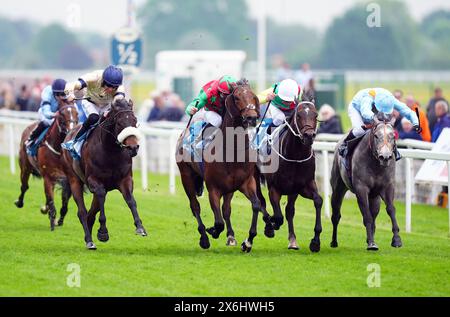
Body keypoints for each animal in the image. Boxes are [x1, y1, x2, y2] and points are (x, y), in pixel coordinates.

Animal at [61, 99, 145, 249]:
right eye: (120, 123)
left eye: (135, 120)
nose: (133, 147)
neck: (111, 151)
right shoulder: (94, 181)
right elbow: (100, 199)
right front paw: (103, 232)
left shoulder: (125, 179)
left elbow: (131, 201)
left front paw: (140, 227)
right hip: (74, 179)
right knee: (82, 211)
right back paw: (89, 240)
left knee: (91, 212)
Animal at [176, 78, 274, 251]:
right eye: (237, 97)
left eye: (253, 96)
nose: (251, 118)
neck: (231, 151)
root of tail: (184, 133)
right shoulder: (213, 189)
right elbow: (218, 222)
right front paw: (213, 231)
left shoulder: (246, 182)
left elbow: (256, 205)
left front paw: (248, 241)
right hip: (186, 176)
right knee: (195, 207)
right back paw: (204, 238)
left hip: (229, 188)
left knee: (226, 209)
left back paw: (231, 236)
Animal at [253, 95, 324, 251]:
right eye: (298, 115)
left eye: (316, 115)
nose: (309, 136)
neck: (295, 156)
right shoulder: (274, 188)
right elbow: (278, 216)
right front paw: (271, 224)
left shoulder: (303, 186)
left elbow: (318, 201)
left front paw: (315, 241)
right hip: (254, 177)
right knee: (261, 201)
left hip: (293, 191)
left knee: (289, 211)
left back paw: (292, 240)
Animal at [328, 112, 402, 251]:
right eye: (376, 135)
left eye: (393, 136)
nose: (385, 157)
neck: (376, 165)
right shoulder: (361, 189)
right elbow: (366, 215)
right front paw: (372, 244)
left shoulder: (388, 186)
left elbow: (390, 209)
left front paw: (396, 240)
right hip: (338, 189)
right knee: (336, 215)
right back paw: (334, 242)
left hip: (375, 198)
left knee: (374, 216)